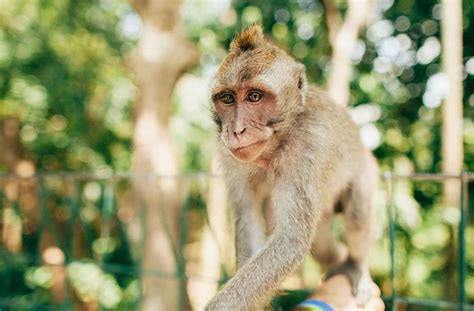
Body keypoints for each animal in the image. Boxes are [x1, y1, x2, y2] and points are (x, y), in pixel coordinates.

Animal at [206, 25, 380, 311]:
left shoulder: (310, 147)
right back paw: (341, 260)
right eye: (228, 99)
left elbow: (290, 241)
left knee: (357, 212)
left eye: (254, 96)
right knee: (321, 246)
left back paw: (356, 265)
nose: (237, 130)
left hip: (366, 171)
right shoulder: (229, 156)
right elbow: (249, 218)